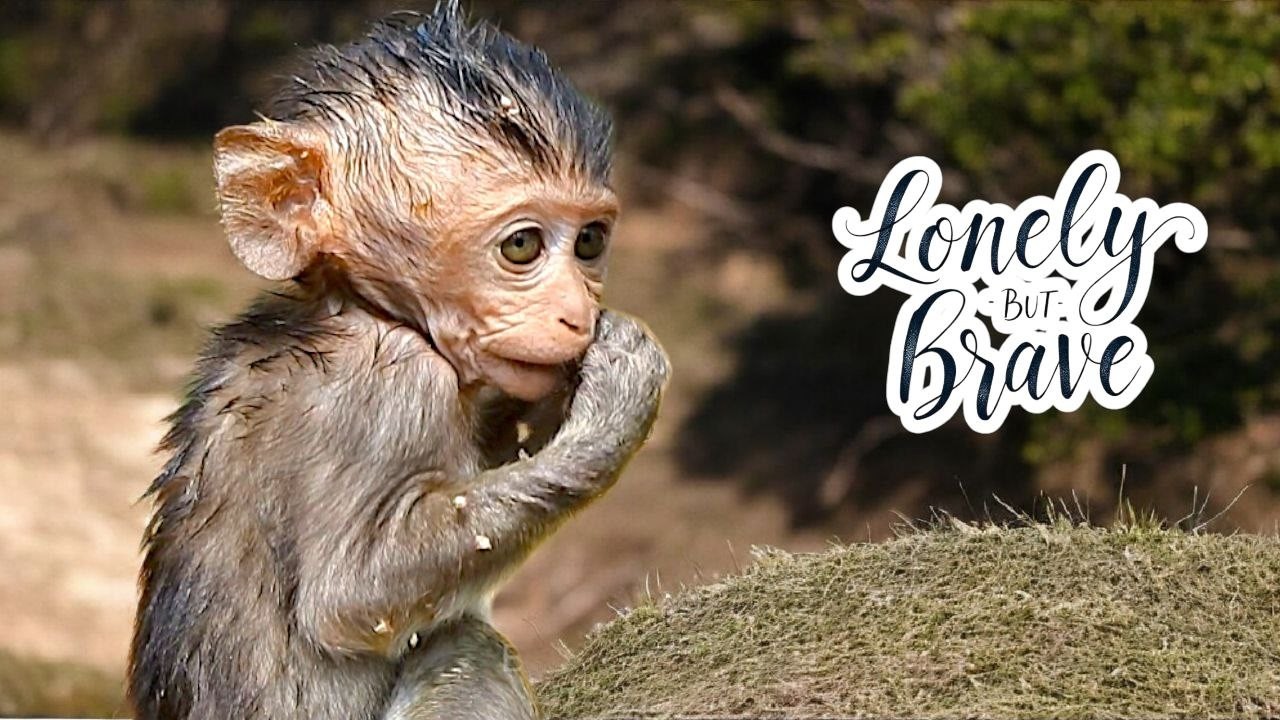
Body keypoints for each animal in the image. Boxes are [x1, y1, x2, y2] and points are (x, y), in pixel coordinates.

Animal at [126, 4, 670, 719]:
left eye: (589, 242)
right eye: (523, 246)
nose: (576, 314)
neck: (355, 308)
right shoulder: (389, 386)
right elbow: (352, 596)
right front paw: (617, 406)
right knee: (471, 648)